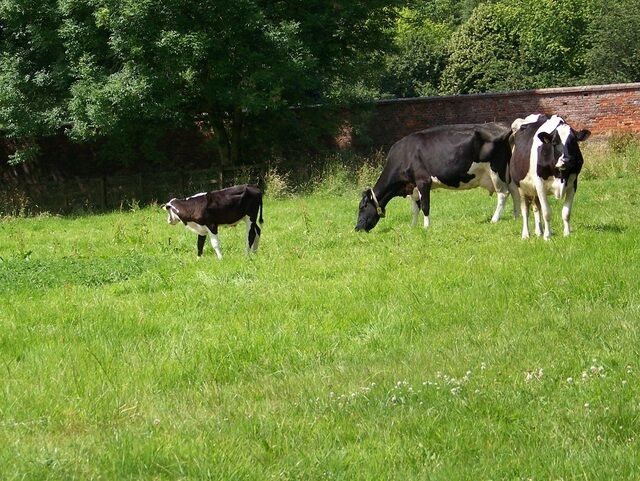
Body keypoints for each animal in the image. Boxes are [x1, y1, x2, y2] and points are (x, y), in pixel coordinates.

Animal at [355, 122, 520, 232]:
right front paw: (413, 227)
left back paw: (494, 220)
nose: (357, 228)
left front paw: (426, 227)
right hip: (508, 172)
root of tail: (501, 126)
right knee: (514, 192)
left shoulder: (423, 181)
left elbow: (425, 206)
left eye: (362, 207)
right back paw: (516, 216)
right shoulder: (413, 186)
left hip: (496, 171)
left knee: (503, 194)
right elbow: (415, 208)